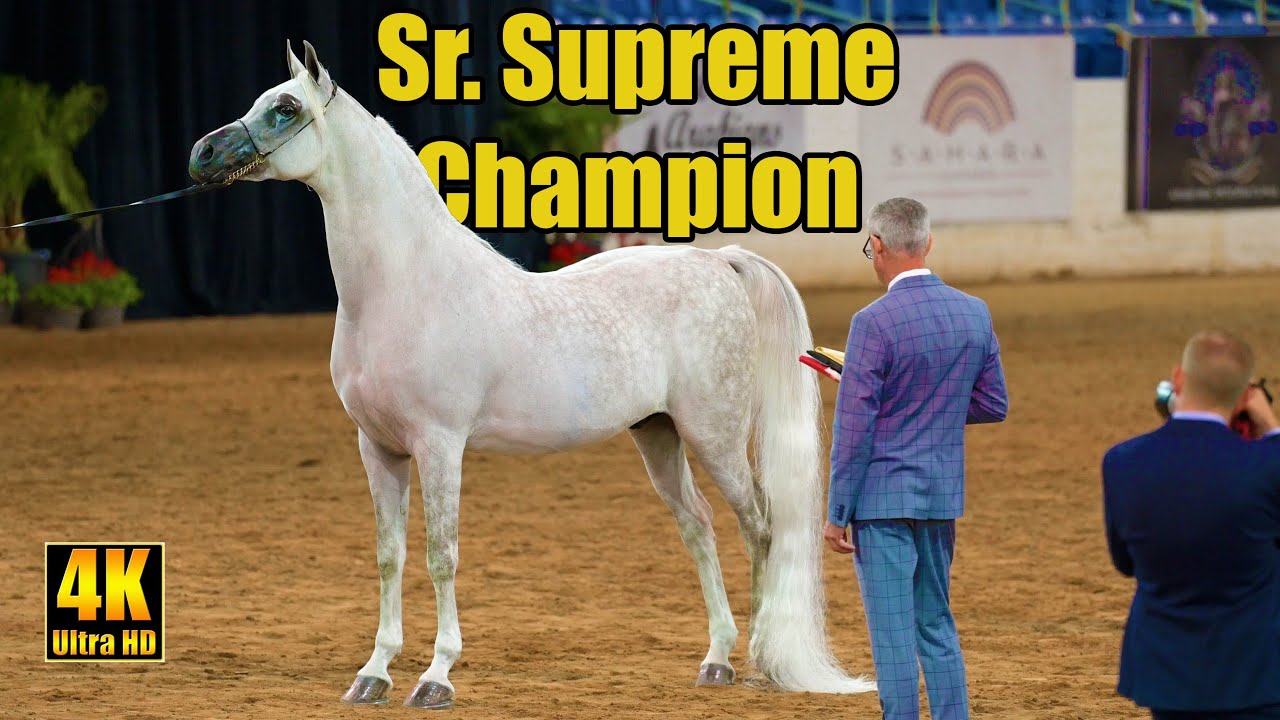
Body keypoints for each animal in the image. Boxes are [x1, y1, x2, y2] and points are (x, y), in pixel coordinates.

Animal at [188, 40, 875, 709]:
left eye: (285, 108)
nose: (203, 153)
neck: (406, 286)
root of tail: (720, 262)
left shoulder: (439, 445)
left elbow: (441, 555)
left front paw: (436, 677)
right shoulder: (378, 447)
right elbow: (389, 556)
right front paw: (374, 673)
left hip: (715, 435)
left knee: (757, 527)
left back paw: (760, 661)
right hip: (658, 434)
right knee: (699, 525)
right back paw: (717, 660)